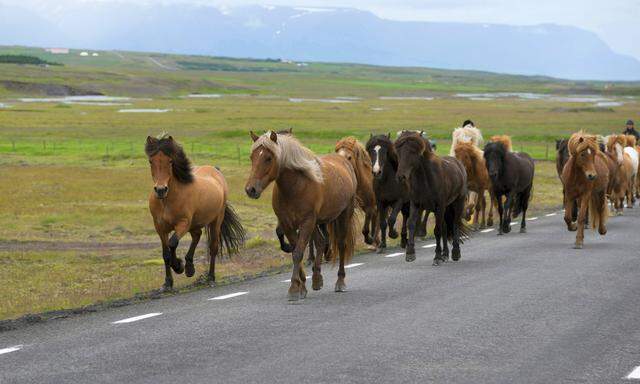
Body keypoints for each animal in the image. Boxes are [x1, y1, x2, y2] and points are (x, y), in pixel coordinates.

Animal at [147, 134, 245, 290]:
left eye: (170, 161)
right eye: (151, 161)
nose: (161, 190)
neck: (166, 202)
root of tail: (215, 170)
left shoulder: (183, 223)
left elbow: (172, 243)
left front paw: (179, 266)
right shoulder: (160, 227)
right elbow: (166, 254)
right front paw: (168, 282)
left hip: (216, 220)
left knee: (213, 247)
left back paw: (210, 276)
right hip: (195, 223)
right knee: (197, 235)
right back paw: (190, 267)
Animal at [245, 130, 358, 302]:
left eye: (268, 158)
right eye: (252, 157)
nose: (251, 189)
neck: (296, 187)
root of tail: (344, 160)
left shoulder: (306, 222)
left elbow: (298, 253)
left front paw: (293, 288)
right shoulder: (288, 225)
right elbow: (295, 251)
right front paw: (302, 286)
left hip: (343, 215)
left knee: (340, 245)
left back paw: (340, 282)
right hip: (316, 222)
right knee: (320, 242)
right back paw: (317, 279)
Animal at [392, 130, 468, 266]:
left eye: (413, 151)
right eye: (398, 151)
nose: (401, 177)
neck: (425, 179)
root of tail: (459, 165)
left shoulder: (439, 205)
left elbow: (437, 230)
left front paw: (437, 256)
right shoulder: (416, 204)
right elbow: (411, 224)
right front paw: (410, 253)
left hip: (456, 203)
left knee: (454, 225)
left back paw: (455, 252)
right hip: (444, 209)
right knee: (445, 227)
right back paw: (445, 254)